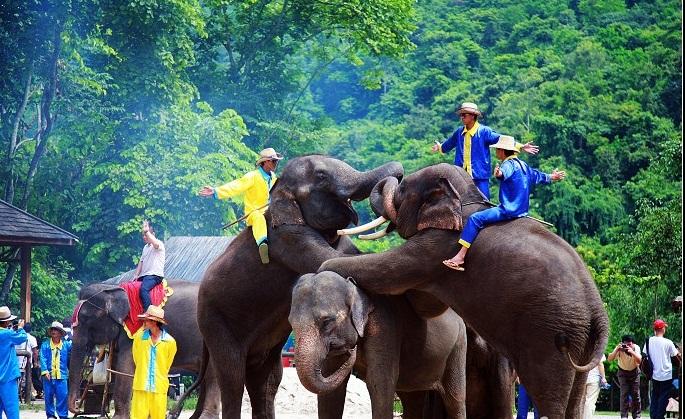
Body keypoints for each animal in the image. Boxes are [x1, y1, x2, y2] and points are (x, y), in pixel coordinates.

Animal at [67, 281, 220, 419]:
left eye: (86, 319)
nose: (77, 408)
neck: (114, 287)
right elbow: (116, 367)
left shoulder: (132, 332)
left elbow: (125, 367)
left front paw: (119, 418)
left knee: (212, 375)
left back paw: (205, 417)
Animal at [193, 155, 404, 418]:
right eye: (322, 177)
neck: (280, 192)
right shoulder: (288, 239)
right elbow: (327, 260)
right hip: (215, 321)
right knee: (233, 376)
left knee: (266, 380)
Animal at [289, 271, 467, 419]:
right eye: (291, 323)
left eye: (327, 321)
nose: (351, 351)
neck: (354, 287)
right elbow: (331, 393)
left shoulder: (384, 326)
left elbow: (379, 383)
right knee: (412, 398)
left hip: (459, 346)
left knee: (454, 399)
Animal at [319, 163, 609, 419]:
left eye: (403, 190)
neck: (467, 197)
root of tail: (599, 314)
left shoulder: (438, 246)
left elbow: (389, 271)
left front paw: (323, 269)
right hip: (579, 340)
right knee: (575, 396)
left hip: (549, 336)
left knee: (549, 393)